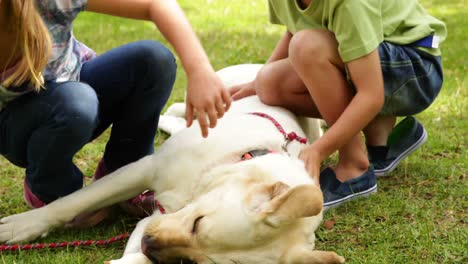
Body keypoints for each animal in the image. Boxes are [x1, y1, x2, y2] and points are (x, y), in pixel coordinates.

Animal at [0, 64, 344, 264]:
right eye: (198, 223)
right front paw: (20, 226)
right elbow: (73, 202)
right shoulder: (144, 169)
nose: (150, 244)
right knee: (179, 109)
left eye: (199, 263)